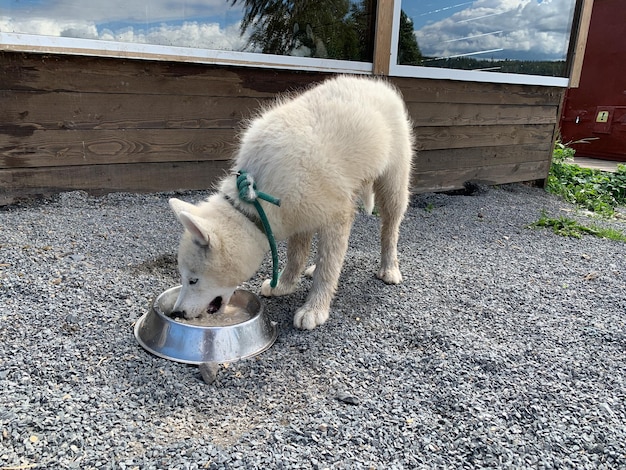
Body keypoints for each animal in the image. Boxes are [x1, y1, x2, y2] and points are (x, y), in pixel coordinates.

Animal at [168, 74, 412, 330]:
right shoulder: (299, 215)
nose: (177, 313)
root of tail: (373, 82)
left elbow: (328, 266)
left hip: (393, 185)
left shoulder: (336, 215)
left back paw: (389, 268)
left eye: (193, 280)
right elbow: (298, 256)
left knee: (390, 229)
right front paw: (285, 285)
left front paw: (315, 309)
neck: (255, 195)